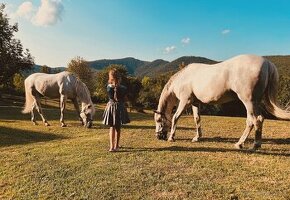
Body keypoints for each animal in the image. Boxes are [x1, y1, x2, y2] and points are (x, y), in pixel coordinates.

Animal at [154, 54, 290, 149]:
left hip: (248, 102)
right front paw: (197, 137)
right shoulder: (195, 103)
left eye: (159, 120)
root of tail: (267, 63)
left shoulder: (184, 101)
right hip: (255, 102)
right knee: (257, 119)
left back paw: (249, 144)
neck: (184, 78)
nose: (158, 137)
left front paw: (171, 137)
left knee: (254, 120)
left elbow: (175, 117)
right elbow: (197, 119)